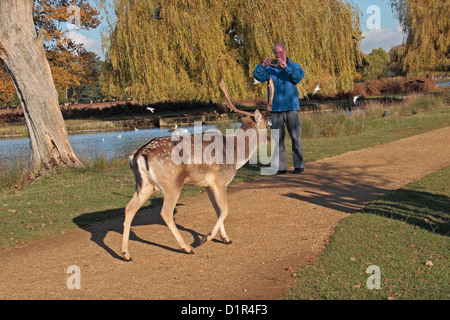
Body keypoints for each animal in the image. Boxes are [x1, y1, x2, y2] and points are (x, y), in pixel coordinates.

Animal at [120, 77, 274, 260]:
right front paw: (206, 238)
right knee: (165, 213)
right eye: (265, 124)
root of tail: (138, 154)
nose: (270, 139)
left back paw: (125, 253)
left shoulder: (208, 185)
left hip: (144, 185)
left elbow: (218, 210)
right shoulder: (220, 181)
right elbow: (225, 210)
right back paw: (187, 247)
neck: (235, 154)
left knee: (129, 208)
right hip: (171, 183)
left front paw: (226, 238)